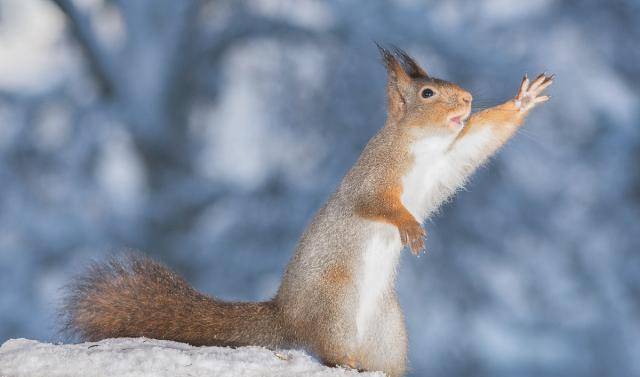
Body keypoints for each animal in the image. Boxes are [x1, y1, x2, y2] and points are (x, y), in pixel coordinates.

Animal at [61, 46, 552, 376]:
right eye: (428, 92)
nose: (467, 100)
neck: (423, 145)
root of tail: (287, 316)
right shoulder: (373, 176)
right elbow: (377, 203)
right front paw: (410, 228)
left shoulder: (451, 159)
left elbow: (481, 139)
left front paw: (523, 99)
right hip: (334, 305)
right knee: (331, 352)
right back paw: (345, 360)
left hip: (389, 333)